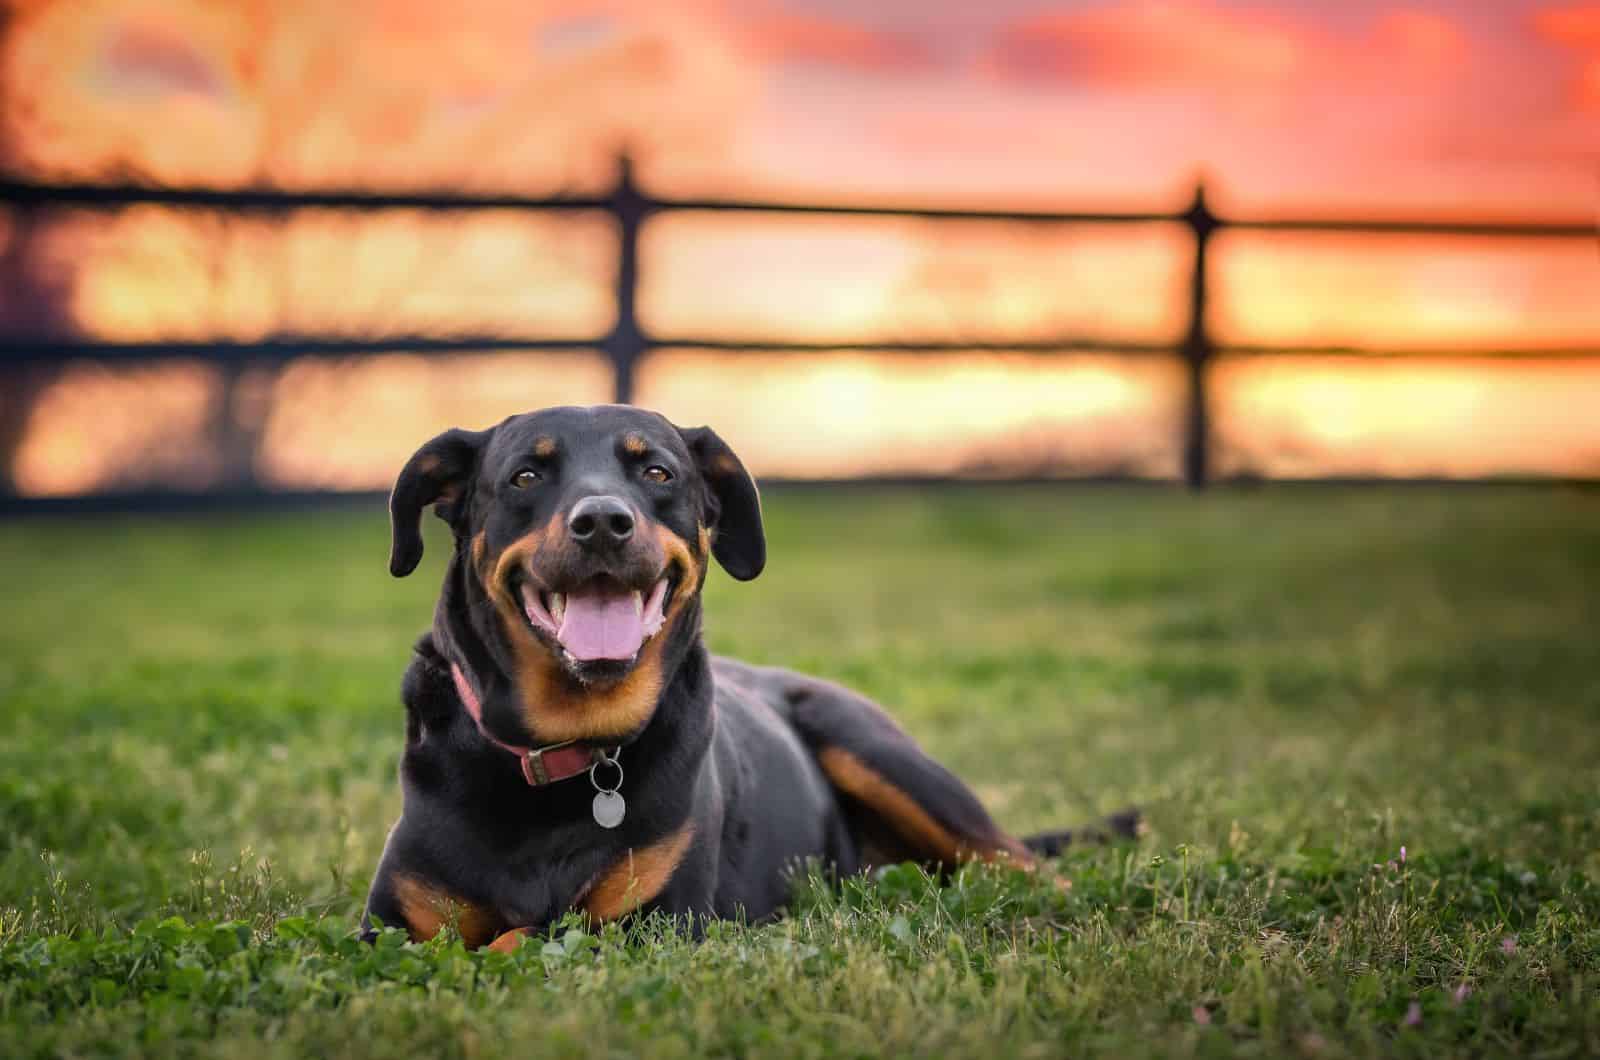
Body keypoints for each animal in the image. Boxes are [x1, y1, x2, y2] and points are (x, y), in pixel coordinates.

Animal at [363, 408, 1139, 954]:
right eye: (526, 477)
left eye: (658, 474)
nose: (604, 522)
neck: (565, 751)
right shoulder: (388, 924)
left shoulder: (659, 922)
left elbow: (524, 935)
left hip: (881, 753)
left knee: (1023, 864)